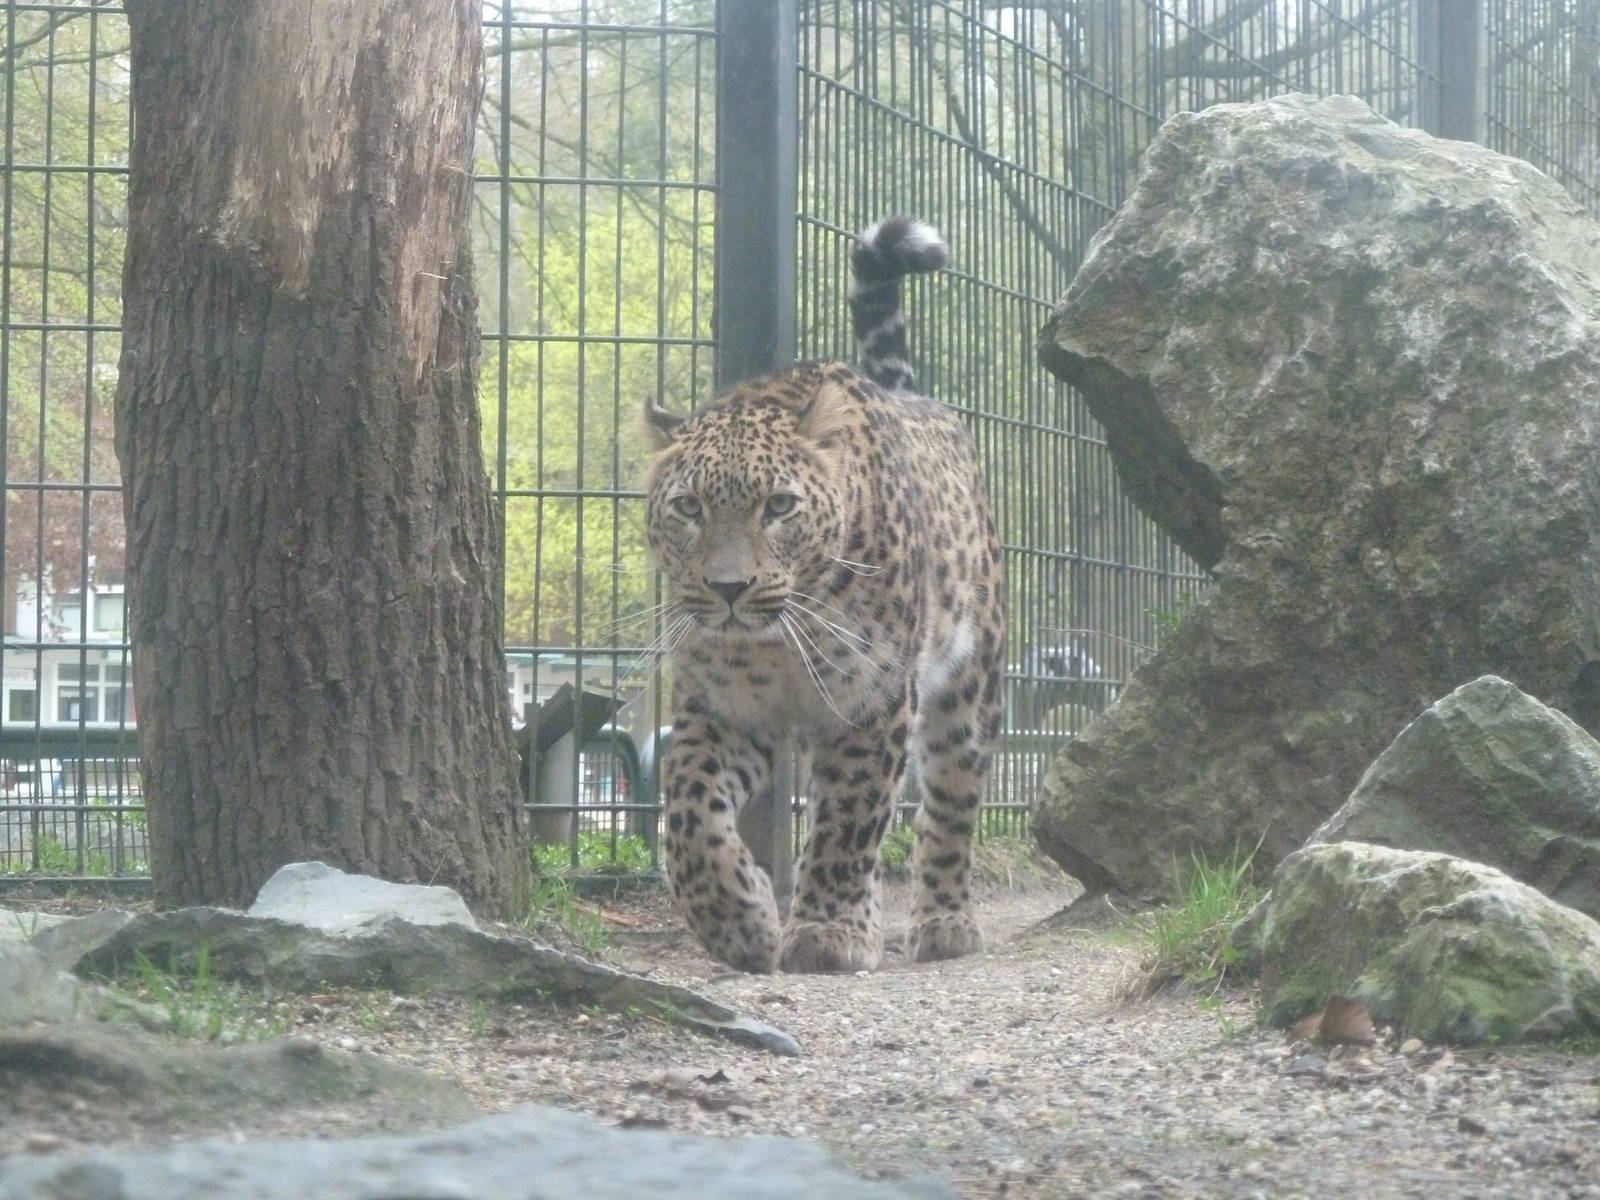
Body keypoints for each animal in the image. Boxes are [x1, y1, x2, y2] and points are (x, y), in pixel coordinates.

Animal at [642, 216, 1005, 974]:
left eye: (779, 506)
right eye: (688, 507)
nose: (728, 588)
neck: (780, 641)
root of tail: (916, 398)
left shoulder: (872, 700)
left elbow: (849, 819)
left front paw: (828, 933)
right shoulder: (720, 708)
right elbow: (688, 809)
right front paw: (739, 918)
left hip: (970, 683)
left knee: (952, 800)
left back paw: (945, 921)